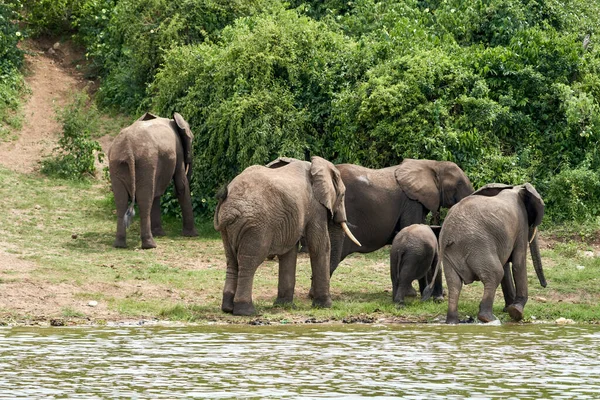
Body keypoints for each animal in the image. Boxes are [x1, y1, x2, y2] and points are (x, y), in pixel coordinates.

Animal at [108, 112, 199, 248]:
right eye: (191, 139)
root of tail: (128, 148)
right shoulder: (178, 150)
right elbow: (181, 185)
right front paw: (192, 235)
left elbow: (156, 191)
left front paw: (159, 234)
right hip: (145, 162)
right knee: (144, 200)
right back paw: (150, 245)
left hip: (117, 163)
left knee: (121, 201)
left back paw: (119, 245)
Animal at [213, 156, 358, 316]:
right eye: (342, 195)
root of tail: (228, 203)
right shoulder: (315, 206)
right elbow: (319, 245)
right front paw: (325, 306)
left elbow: (289, 252)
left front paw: (284, 305)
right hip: (255, 226)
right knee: (249, 262)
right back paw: (246, 311)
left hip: (227, 229)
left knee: (232, 261)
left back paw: (227, 308)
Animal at [422, 183, 548, 324]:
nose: (544, 285)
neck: (516, 188)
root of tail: (448, 233)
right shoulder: (521, 224)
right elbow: (518, 263)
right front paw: (516, 312)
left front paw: (508, 309)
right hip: (478, 245)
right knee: (496, 273)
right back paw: (487, 318)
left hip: (451, 252)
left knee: (454, 284)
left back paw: (452, 321)